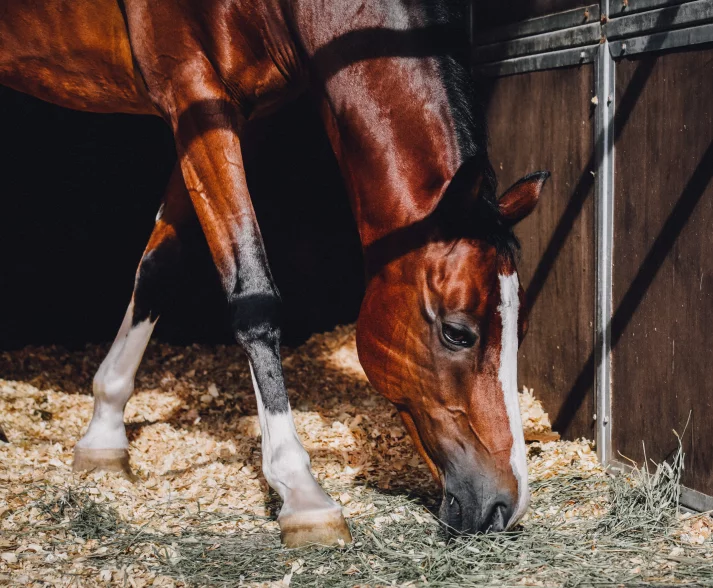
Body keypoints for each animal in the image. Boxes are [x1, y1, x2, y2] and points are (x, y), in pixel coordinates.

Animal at [0, 0, 549, 547]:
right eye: (457, 332)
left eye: (521, 330)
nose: (505, 506)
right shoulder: (194, 92)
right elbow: (254, 295)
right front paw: (302, 492)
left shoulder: (225, 117)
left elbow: (158, 269)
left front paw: (104, 432)